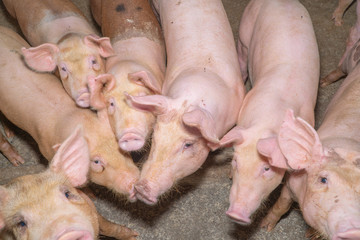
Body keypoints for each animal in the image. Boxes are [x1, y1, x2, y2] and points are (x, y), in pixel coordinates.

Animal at [0, 26, 139, 202]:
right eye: (96, 162)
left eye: (120, 146)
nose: (134, 183)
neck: (76, 119)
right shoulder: (46, 150)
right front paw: (91, 196)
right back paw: (18, 161)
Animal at [0, 126, 138, 239]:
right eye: (21, 223)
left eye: (67, 193)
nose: (67, 235)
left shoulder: (91, 208)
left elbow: (109, 227)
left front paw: (134, 235)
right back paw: (18, 160)